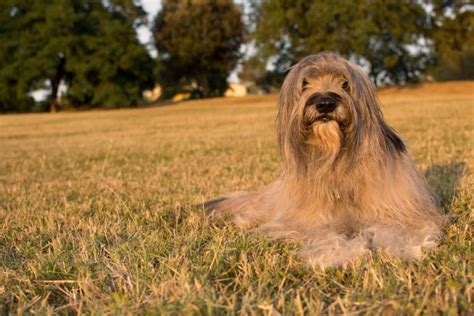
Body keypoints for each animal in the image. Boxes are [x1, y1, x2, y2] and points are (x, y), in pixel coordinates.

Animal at [204, 52, 444, 270]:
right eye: (305, 84)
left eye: (345, 83)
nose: (325, 103)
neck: (335, 159)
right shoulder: (309, 221)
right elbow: (324, 234)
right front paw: (337, 255)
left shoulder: (402, 212)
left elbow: (398, 229)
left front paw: (404, 249)